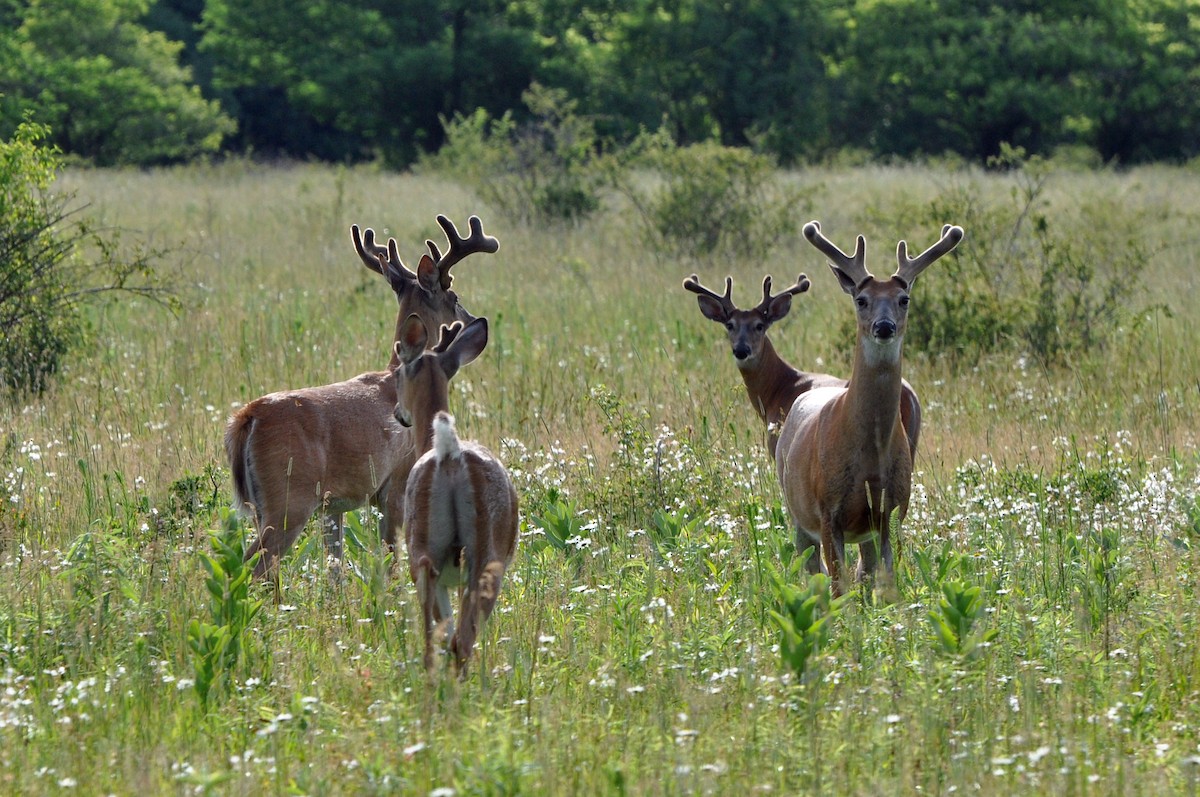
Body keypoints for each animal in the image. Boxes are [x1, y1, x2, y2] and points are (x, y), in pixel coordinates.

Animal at [225, 215, 500, 580]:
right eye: (453, 295)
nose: (472, 321)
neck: (393, 375)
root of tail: (248, 416)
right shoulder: (395, 485)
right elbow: (392, 558)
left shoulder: (334, 504)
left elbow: (335, 568)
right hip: (288, 501)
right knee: (254, 566)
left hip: (262, 506)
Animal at [391, 314, 518, 675]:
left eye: (396, 374)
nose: (398, 413)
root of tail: (449, 453)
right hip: (486, 551)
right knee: (462, 636)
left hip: (424, 536)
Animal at [682, 274, 922, 465]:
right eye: (730, 325)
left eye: (759, 326)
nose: (741, 349)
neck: (778, 389)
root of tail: (909, 395)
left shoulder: (777, 444)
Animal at [774, 220, 963, 596]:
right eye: (861, 300)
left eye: (904, 299)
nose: (884, 326)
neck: (869, 455)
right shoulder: (827, 509)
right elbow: (838, 586)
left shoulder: (892, 510)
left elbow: (886, 583)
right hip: (796, 510)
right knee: (812, 571)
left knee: (863, 570)